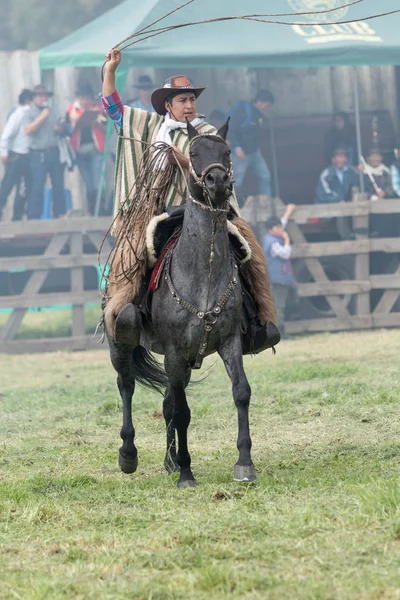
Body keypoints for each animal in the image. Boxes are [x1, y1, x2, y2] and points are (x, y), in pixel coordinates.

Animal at [106, 120, 258, 488]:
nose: (217, 181)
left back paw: (170, 461)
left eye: (226, 151)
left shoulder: (228, 342)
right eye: (194, 152)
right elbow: (182, 410)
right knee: (127, 385)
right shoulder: (174, 352)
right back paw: (129, 454)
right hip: (122, 340)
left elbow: (240, 392)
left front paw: (244, 463)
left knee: (165, 401)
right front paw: (188, 472)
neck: (203, 275)